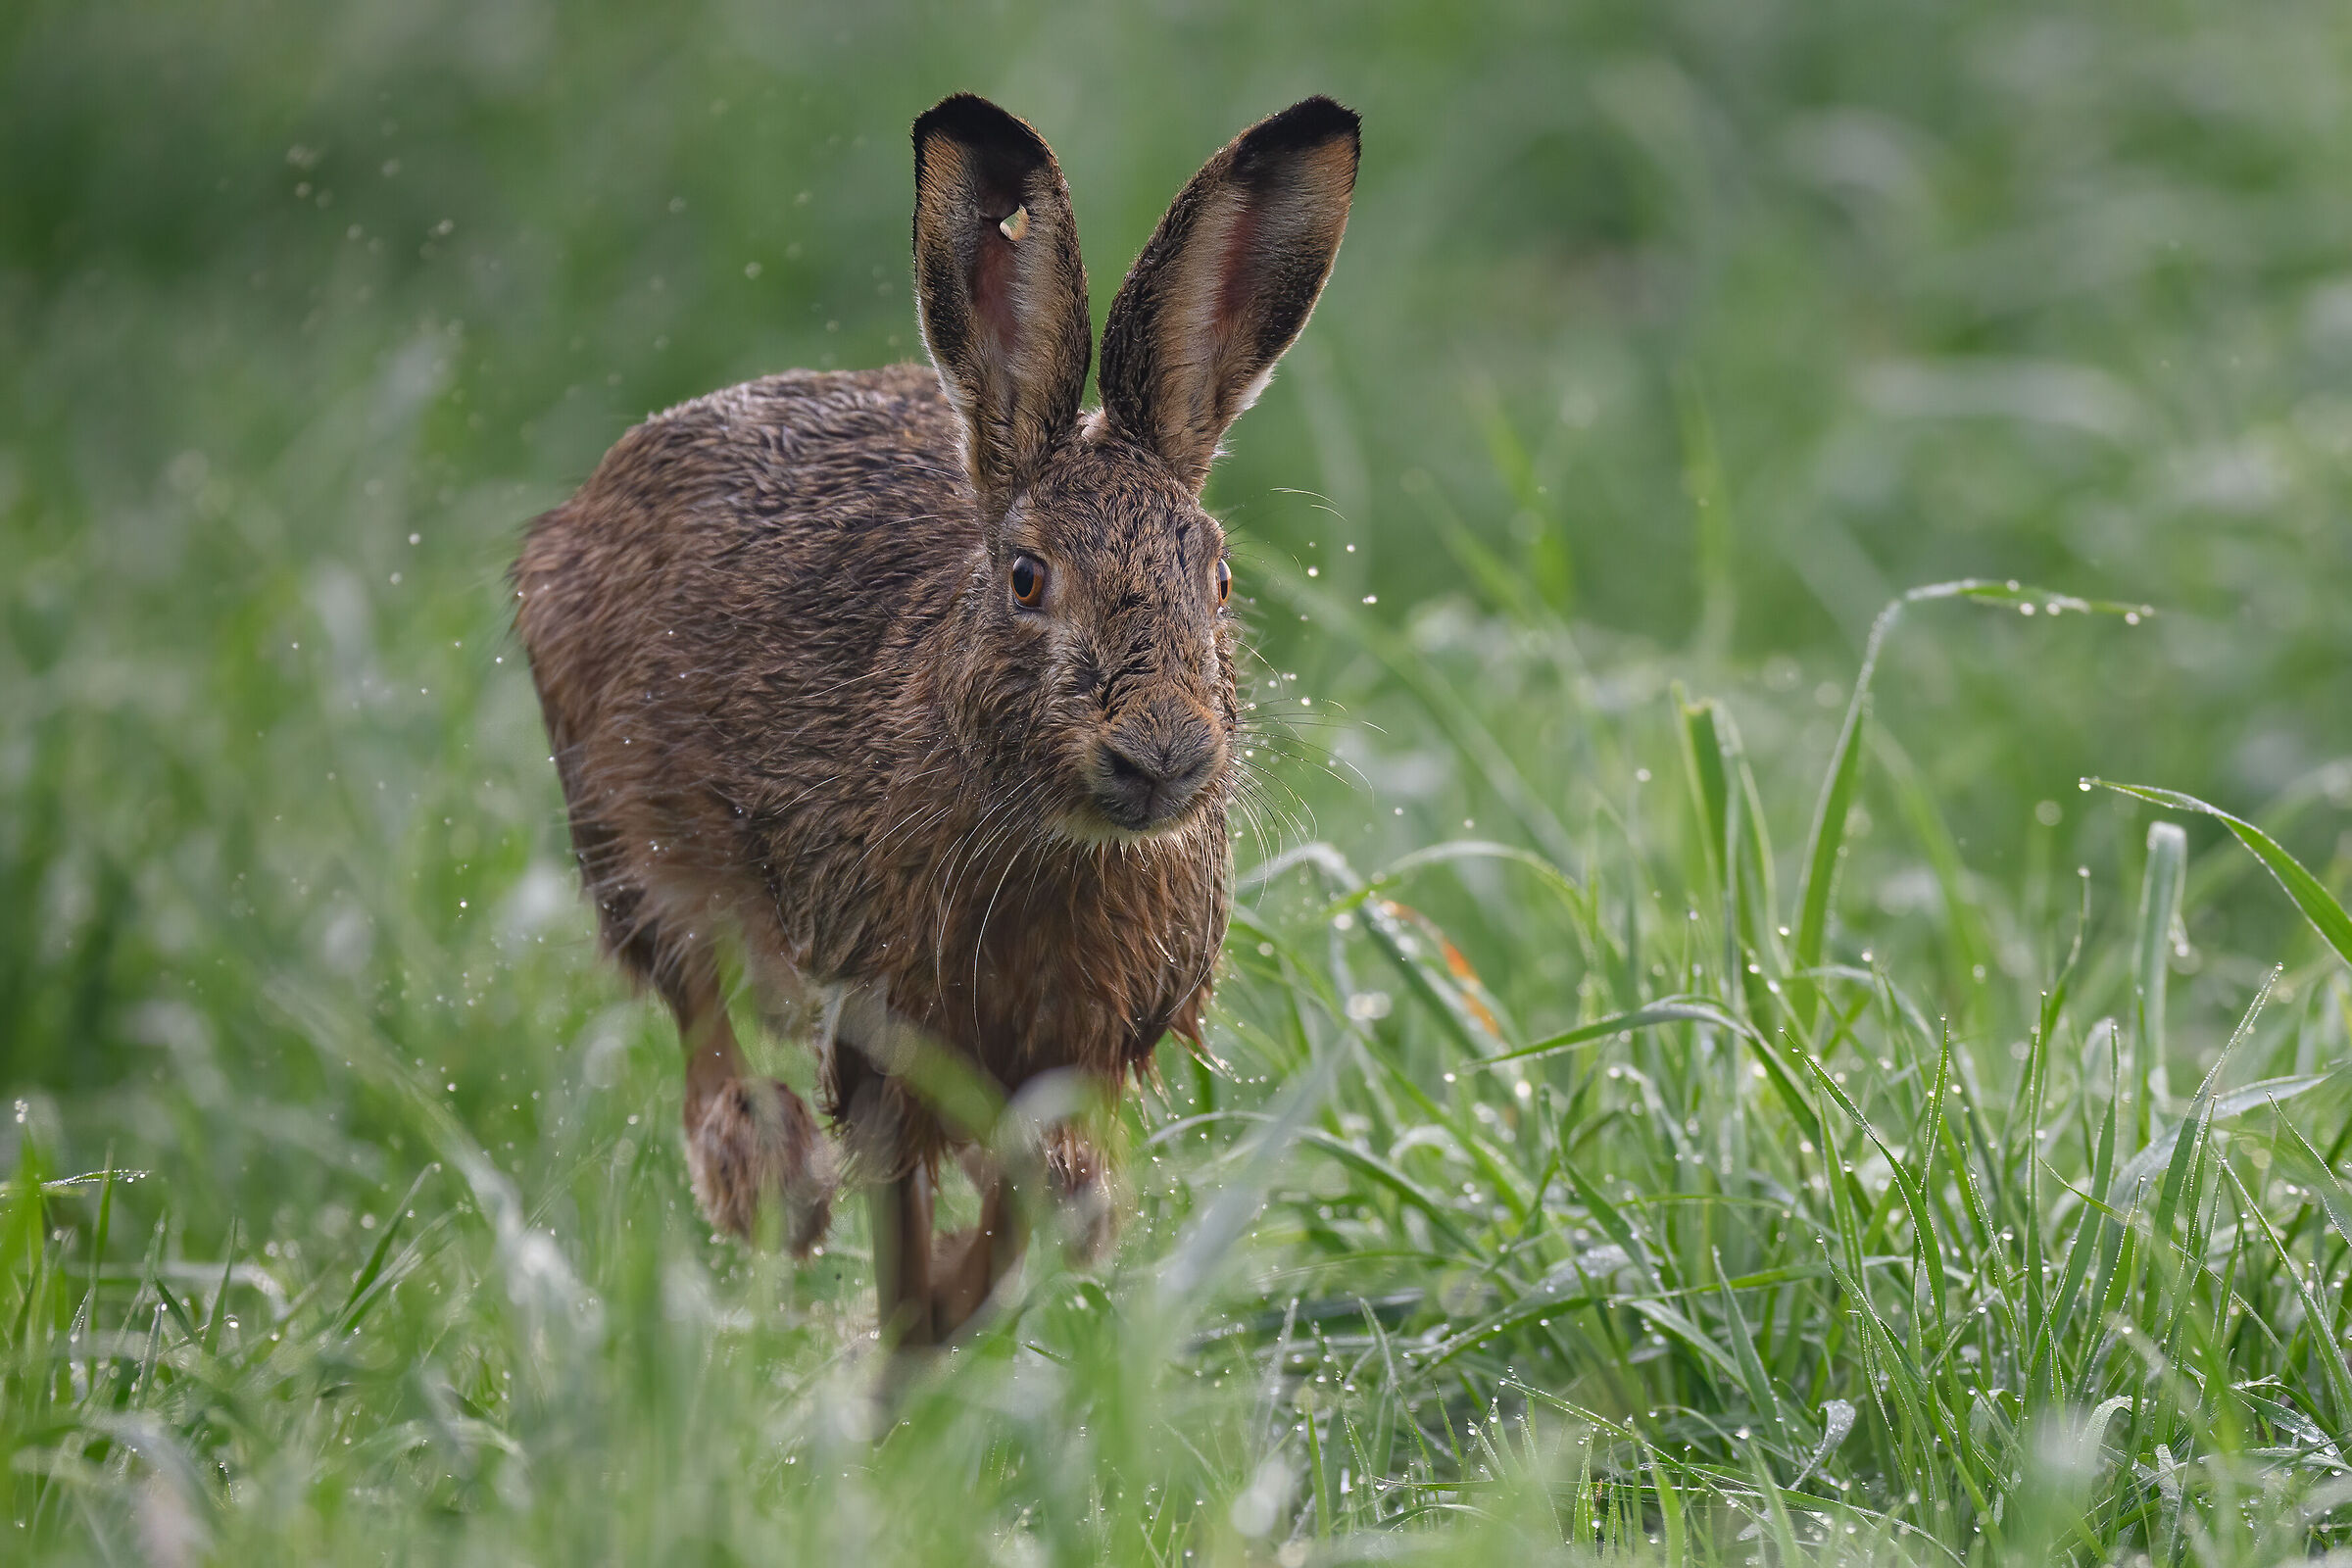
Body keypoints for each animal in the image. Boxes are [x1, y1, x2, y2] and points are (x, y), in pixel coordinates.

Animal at [512, 91, 1359, 1346]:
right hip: (626, 830)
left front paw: (1009, 1271)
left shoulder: (1083, 1048)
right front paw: (910, 1330)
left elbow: (1027, 1197)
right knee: (702, 1010)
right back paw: (772, 1183)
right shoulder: (879, 1017)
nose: (1163, 752)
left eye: (1217, 579)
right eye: (1025, 579)